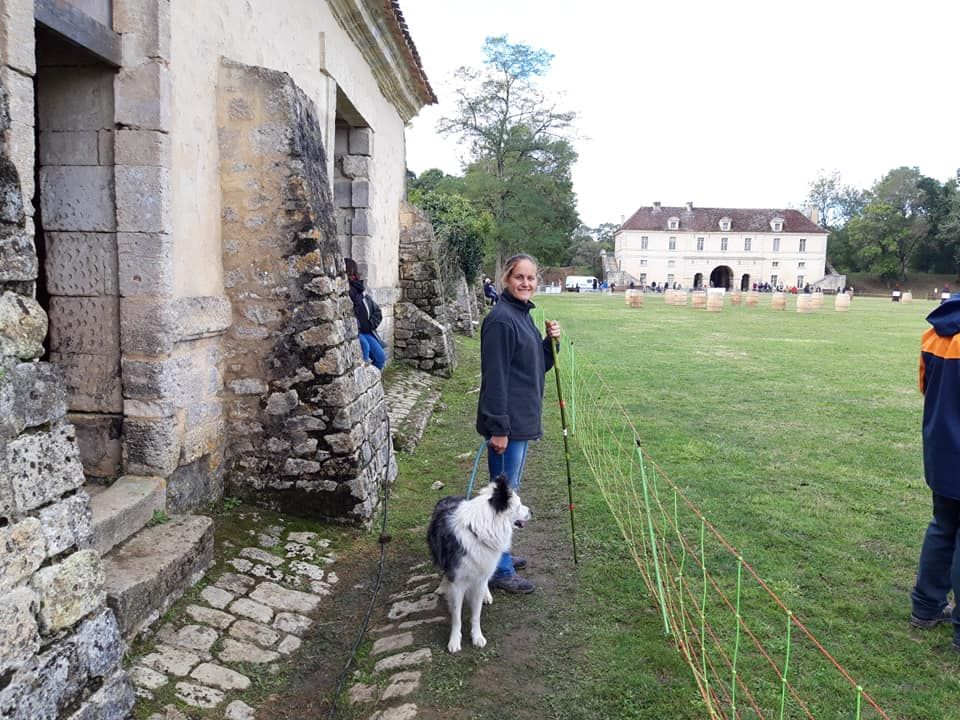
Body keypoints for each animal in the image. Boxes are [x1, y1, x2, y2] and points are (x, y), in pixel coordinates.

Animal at [428, 472, 532, 652]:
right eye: (519, 505)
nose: (531, 511)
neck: (479, 531)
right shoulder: (457, 582)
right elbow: (456, 617)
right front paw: (454, 640)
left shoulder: (481, 573)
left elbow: (476, 615)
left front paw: (477, 636)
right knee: (444, 571)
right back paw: (442, 586)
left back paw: (486, 594)